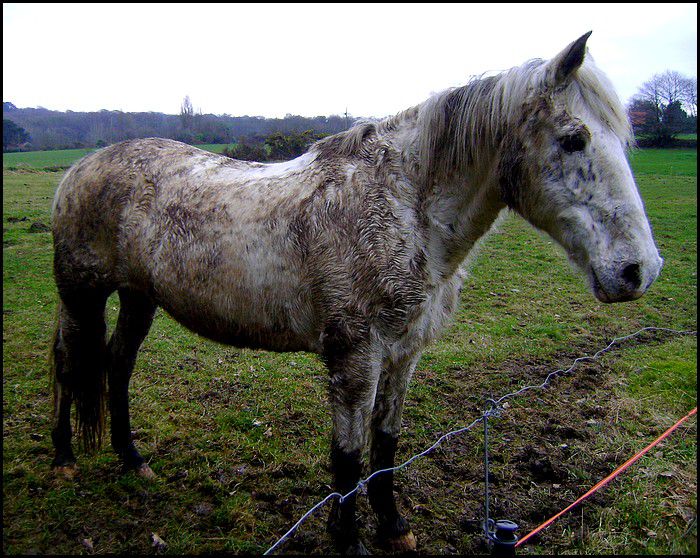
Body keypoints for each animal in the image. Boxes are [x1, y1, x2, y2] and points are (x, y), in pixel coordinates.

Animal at [50, 32, 663, 554]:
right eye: (574, 139)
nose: (639, 270)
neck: (402, 208)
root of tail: (80, 168)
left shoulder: (403, 354)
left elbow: (385, 445)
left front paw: (392, 526)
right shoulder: (354, 358)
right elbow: (346, 458)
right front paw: (347, 539)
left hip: (138, 298)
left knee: (117, 364)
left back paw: (132, 459)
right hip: (82, 297)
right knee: (69, 362)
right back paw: (63, 459)